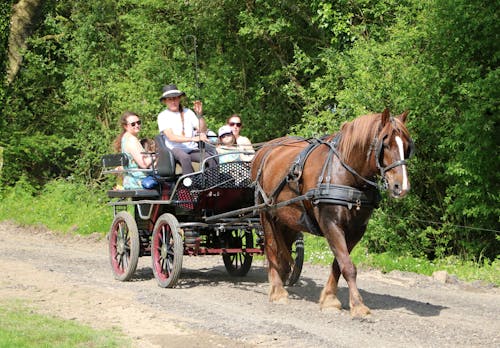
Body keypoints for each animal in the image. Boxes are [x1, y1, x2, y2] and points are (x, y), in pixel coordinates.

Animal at [252, 109, 412, 318]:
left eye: (407, 146)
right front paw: (358, 305)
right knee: (271, 247)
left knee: (283, 249)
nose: (401, 187)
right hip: (266, 212)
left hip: (287, 219)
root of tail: (265, 150)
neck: (345, 173)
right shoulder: (331, 224)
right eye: (385, 144)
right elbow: (348, 266)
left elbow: (339, 263)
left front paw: (329, 299)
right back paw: (278, 291)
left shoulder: (356, 230)